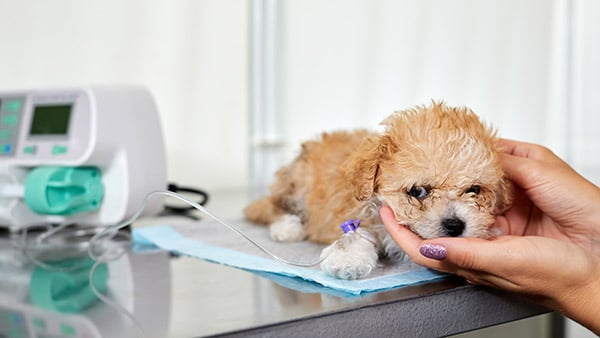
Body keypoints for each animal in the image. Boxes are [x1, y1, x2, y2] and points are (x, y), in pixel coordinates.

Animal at [244, 101, 510, 280]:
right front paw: (348, 258)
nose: (455, 225)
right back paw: (287, 227)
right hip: (298, 181)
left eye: (474, 189)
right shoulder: (357, 211)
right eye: (417, 191)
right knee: (278, 206)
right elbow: (354, 234)